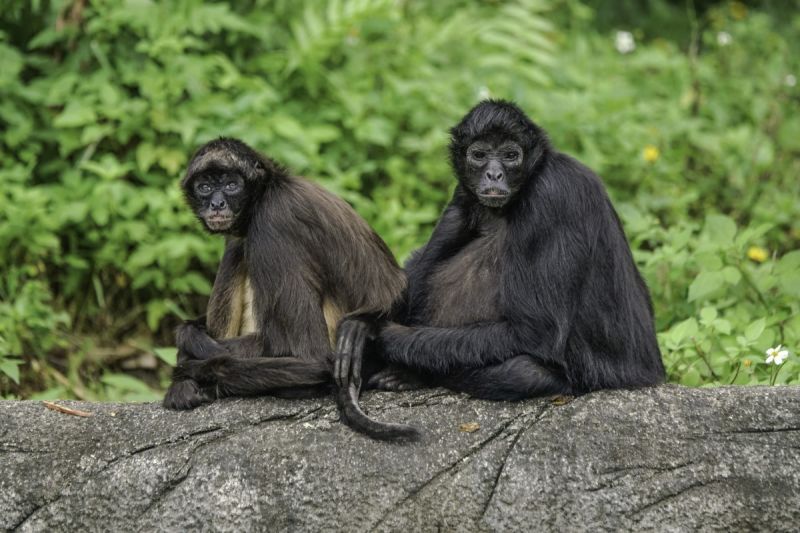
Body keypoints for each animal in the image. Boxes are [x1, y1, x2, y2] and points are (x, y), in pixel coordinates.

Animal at [166, 137, 422, 440]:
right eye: (204, 188)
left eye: (231, 184)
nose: (217, 203)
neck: (270, 190)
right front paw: (189, 336)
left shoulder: (272, 225)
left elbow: (311, 358)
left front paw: (188, 366)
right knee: (237, 244)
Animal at [334, 100, 664, 402]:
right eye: (479, 155)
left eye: (510, 156)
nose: (494, 174)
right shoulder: (463, 195)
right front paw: (366, 321)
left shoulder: (551, 196)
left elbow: (537, 331)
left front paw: (375, 332)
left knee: (524, 372)